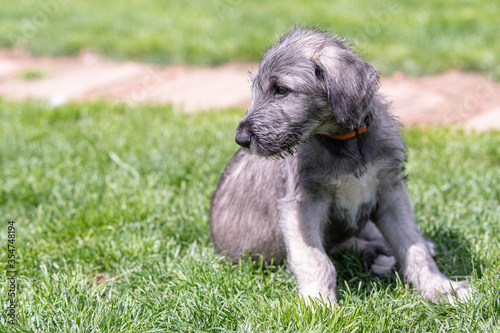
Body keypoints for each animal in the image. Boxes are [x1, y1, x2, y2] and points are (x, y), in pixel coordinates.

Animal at [210, 27, 468, 304]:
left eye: (281, 90)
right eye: (255, 90)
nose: (241, 138)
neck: (345, 141)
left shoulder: (391, 193)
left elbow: (413, 246)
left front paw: (439, 286)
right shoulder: (303, 205)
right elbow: (314, 259)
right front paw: (318, 302)